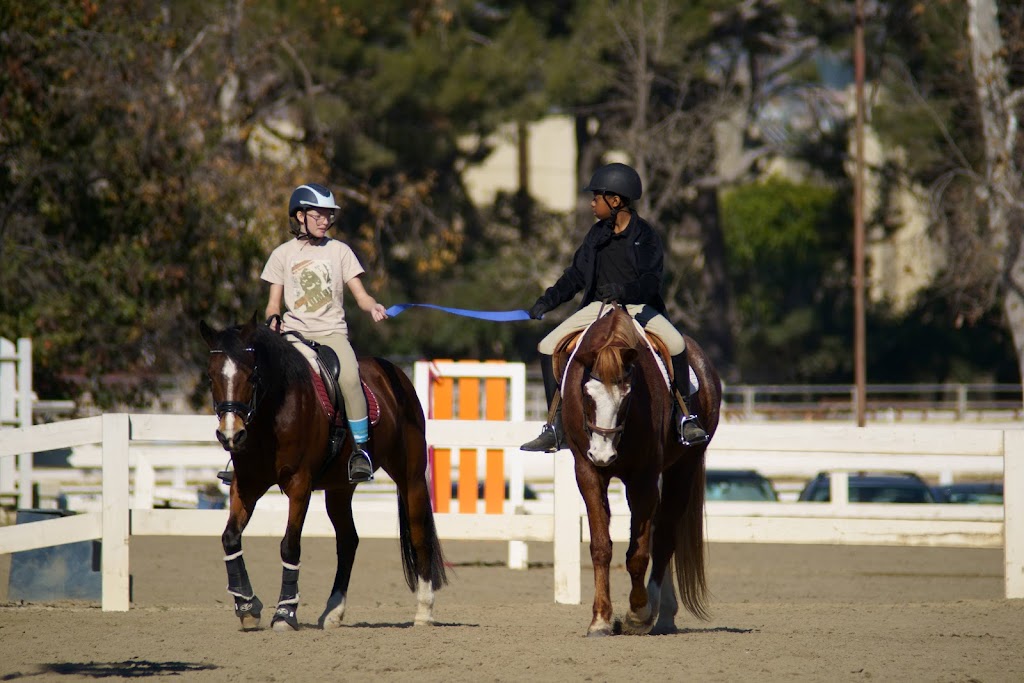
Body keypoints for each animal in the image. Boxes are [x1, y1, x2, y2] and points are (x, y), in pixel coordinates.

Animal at [197, 313, 446, 630]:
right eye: (211, 376)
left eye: (252, 376)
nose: (231, 434)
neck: (272, 415)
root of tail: (394, 373)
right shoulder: (247, 485)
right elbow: (230, 538)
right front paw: (247, 606)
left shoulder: (299, 485)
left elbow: (290, 545)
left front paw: (285, 614)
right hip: (340, 489)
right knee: (349, 541)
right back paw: (333, 611)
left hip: (410, 478)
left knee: (418, 534)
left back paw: (424, 611)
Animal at [561, 305, 720, 634]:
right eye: (587, 394)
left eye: (627, 396)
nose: (603, 454)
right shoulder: (587, 472)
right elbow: (600, 546)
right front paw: (600, 619)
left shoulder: (643, 478)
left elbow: (638, 553)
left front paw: (637, 613)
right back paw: (663, 613)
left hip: (683, 468)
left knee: (665, 537)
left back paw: (658, 612)